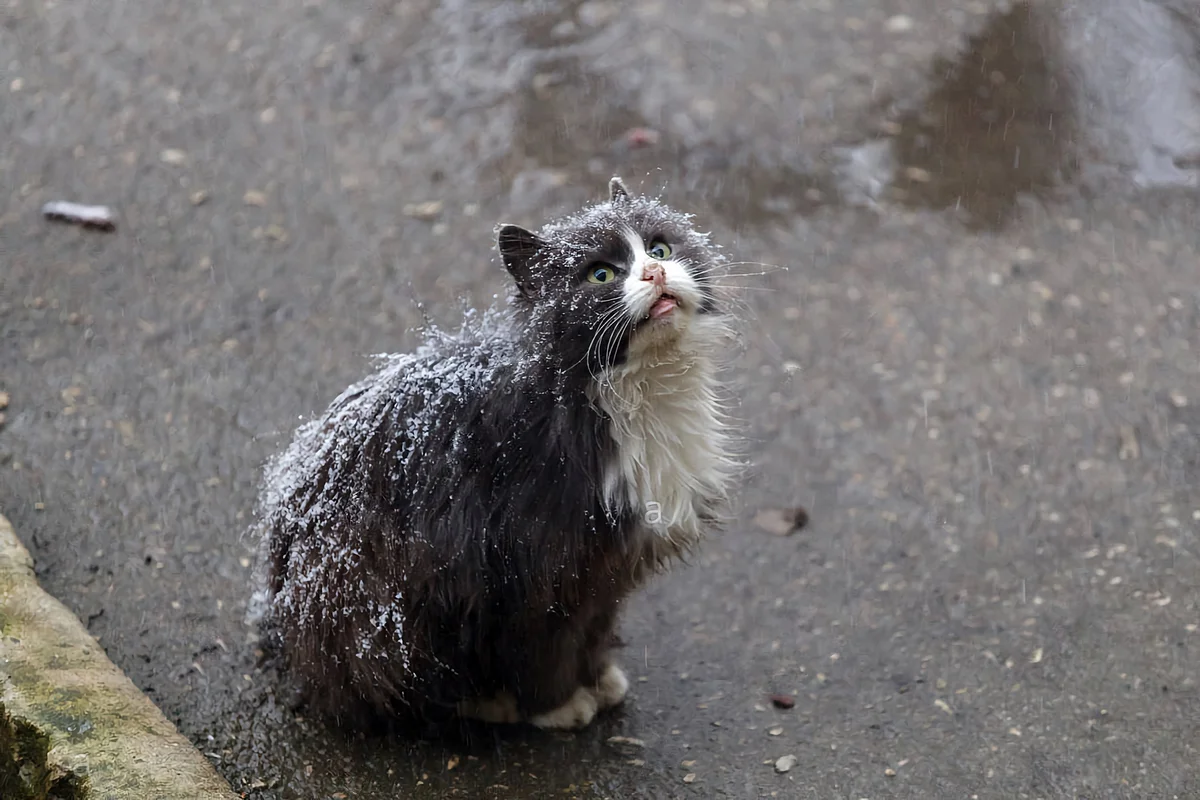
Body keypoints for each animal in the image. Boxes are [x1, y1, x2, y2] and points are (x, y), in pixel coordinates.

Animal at [248, 175, 739, 734]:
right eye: (601, 274)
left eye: (660, 249)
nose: (655, 272)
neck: (630, 393)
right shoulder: (537, 570)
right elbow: (543, 648)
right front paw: (558, 706)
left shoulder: (606, 571)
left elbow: (594, 630)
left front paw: (598, 680)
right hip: (392, 610)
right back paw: (490, 704)